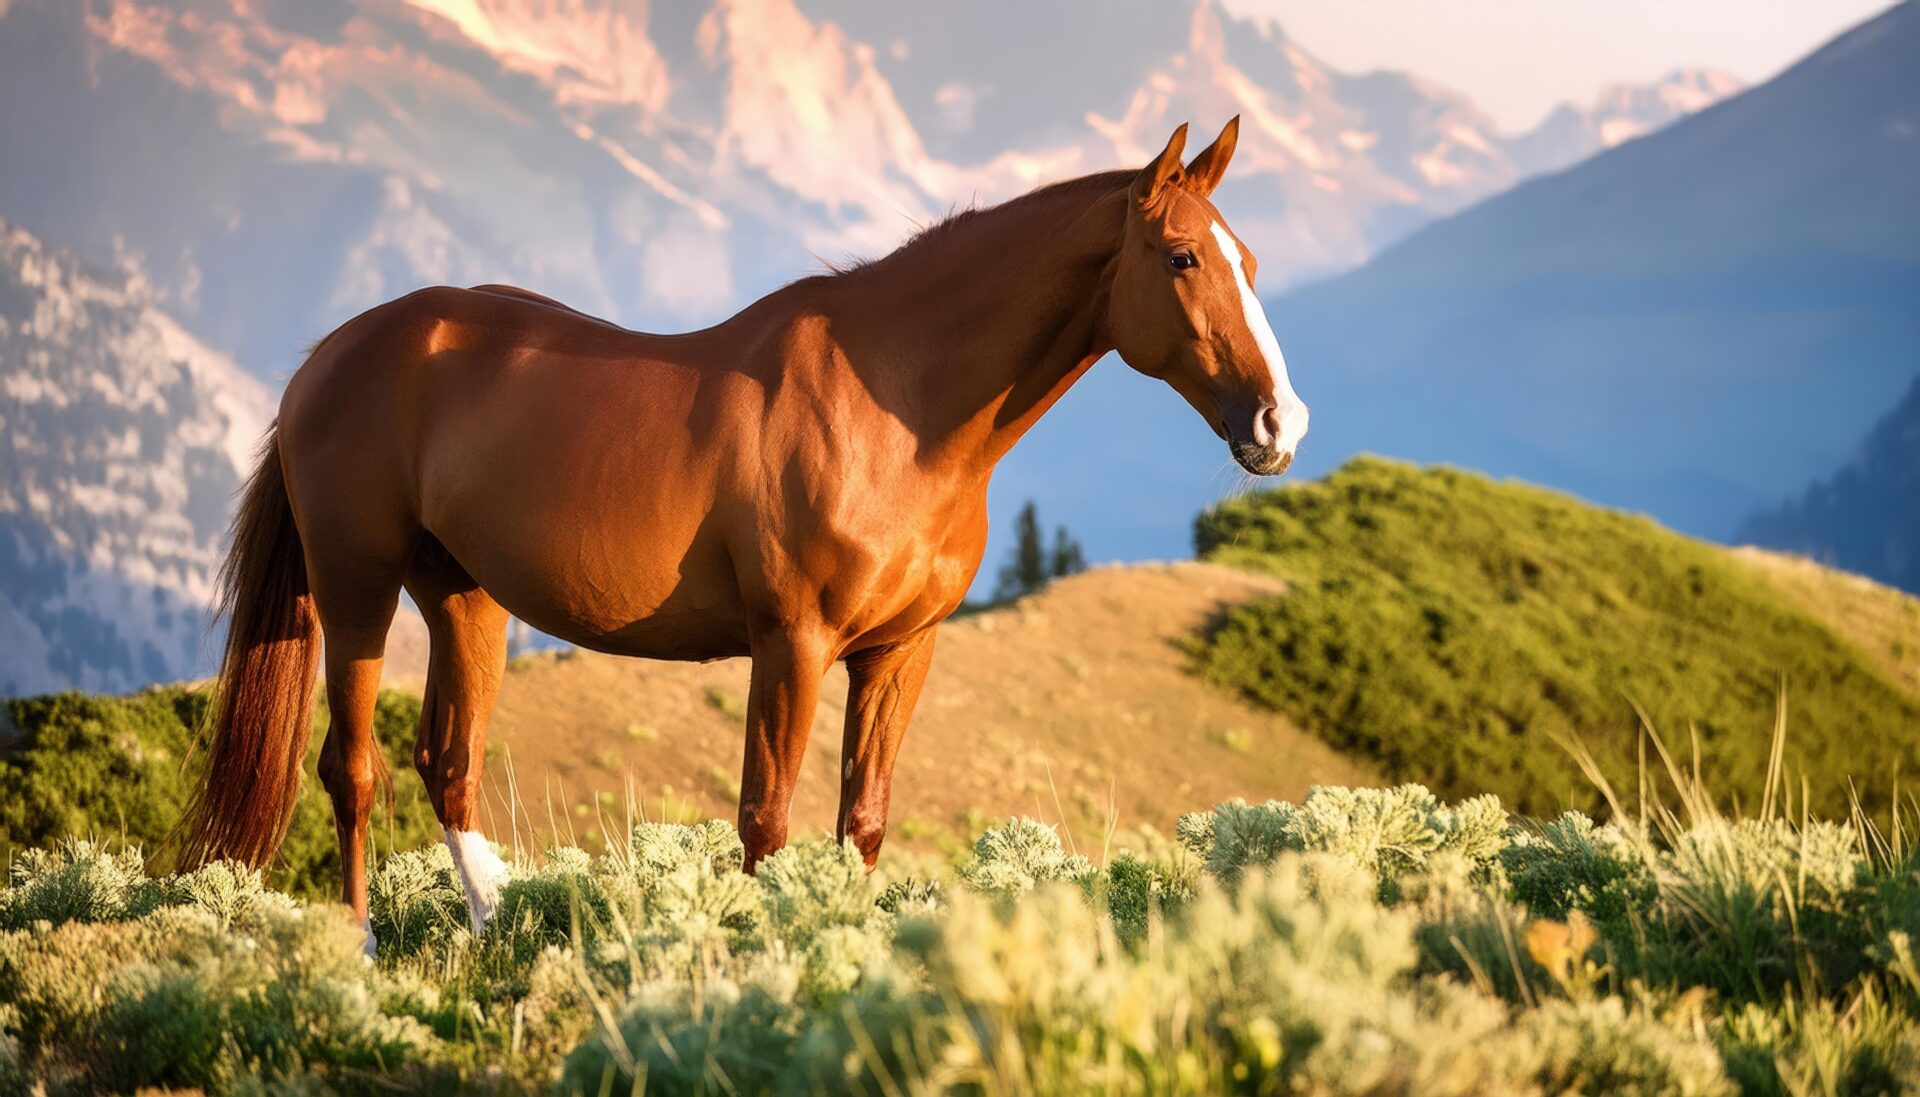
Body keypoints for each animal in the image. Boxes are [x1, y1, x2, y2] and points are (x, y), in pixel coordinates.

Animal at [179, 117, 1309, 945]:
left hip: (462, 593)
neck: (896, 406)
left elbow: (862, 821)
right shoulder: (792, 644)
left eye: (1250, 258)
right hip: (355, 585)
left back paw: (493, 929)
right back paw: (362, 945)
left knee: (446, 761)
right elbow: (764, 821)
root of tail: (333, 353)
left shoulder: (900, 652)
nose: (1279, 424)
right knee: (353, 766)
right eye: (1180, 257)